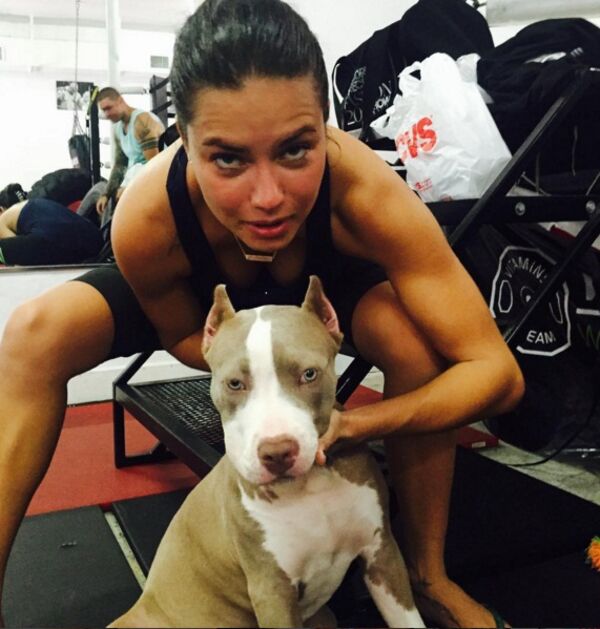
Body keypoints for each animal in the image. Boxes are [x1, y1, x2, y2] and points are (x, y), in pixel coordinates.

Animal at [110, 276, 424, 628]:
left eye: (309, 374)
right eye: (234, 383)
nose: (277, 452)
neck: (311, 486)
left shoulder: (382, 554)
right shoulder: (272, 591)